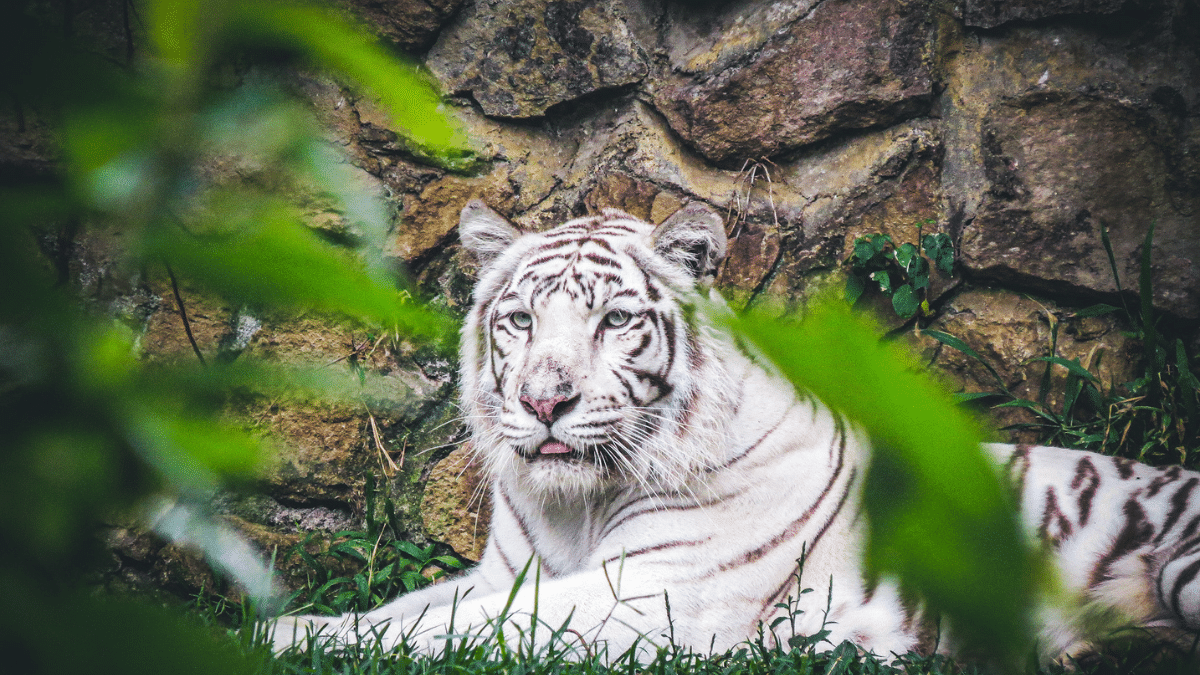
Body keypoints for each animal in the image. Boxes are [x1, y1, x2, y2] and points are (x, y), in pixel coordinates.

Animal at [272, 198, 1200, 658]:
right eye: (521, 322)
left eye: (614, 321)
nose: (542, 403)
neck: (575, 508)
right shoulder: (501, 571)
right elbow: (401, 608)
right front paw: (286, 624)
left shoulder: (655, 594)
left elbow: (447, 628)